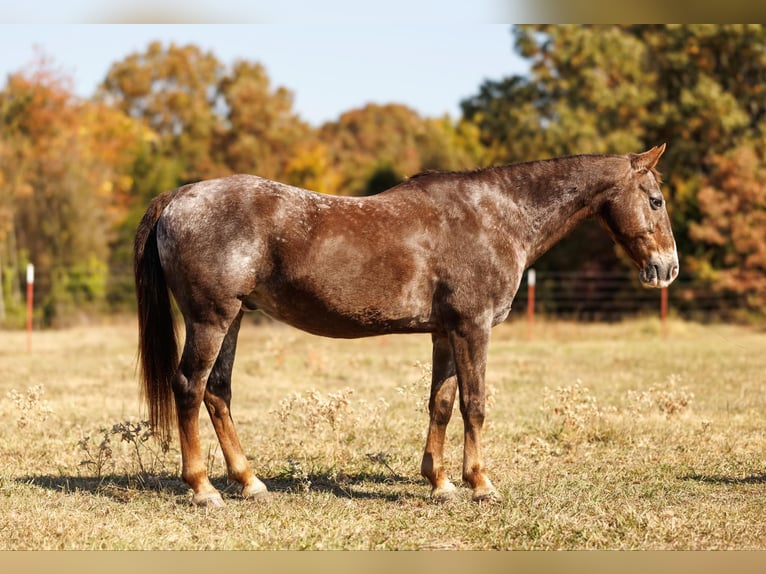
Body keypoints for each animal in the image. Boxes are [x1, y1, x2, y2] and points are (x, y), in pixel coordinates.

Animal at [134, 144, 678, 507]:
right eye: (655, 200)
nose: (668, 268)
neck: (497, 216)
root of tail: (180, 196)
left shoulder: (445, 332)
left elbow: (441, 404)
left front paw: (439, 481)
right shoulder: (473, 328)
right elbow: (475, 405)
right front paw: (480, 483)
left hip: (233, 319)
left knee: (217, 391)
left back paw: (249, 482)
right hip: (210, 319)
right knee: (190, 387)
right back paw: (203, 488)